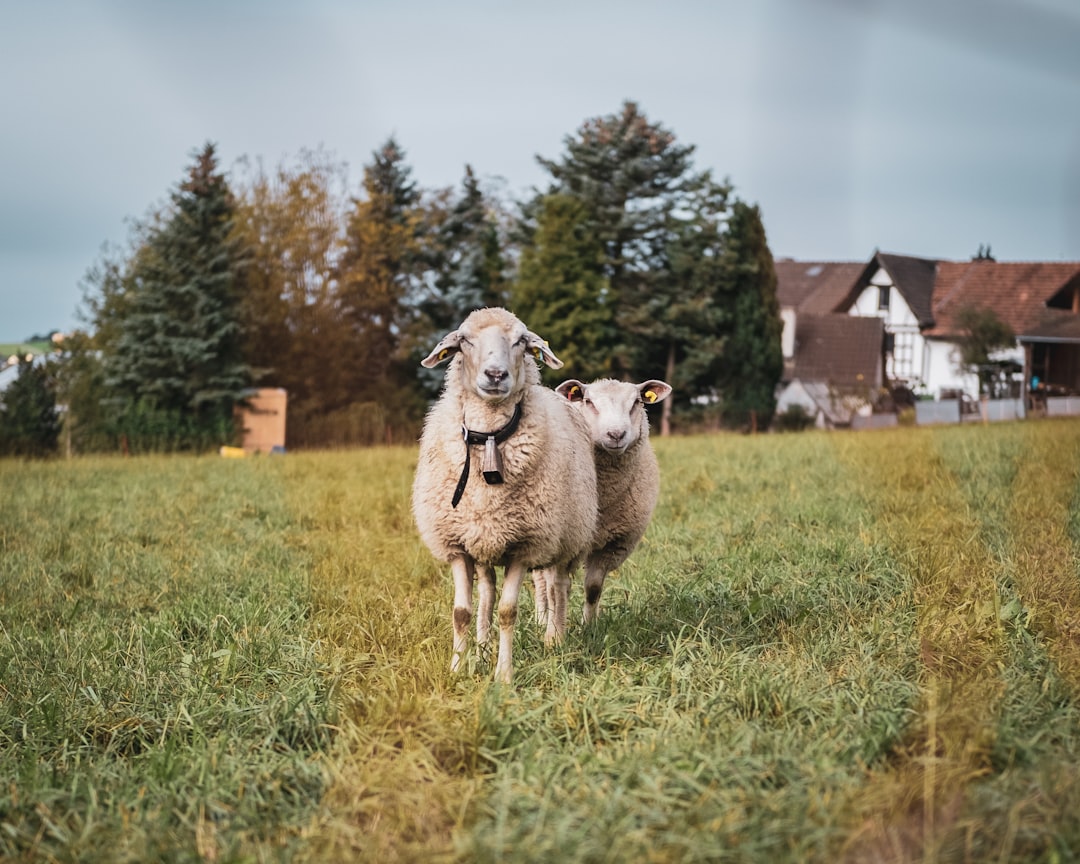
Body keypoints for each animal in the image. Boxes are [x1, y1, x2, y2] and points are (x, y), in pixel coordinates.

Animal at [410, 306, 600, 686]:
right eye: (465, 340)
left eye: (521, 341)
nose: (495, 374)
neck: (488, 438)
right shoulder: (457, 543)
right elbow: (462, 612)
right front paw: (458, 668)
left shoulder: (525, 546)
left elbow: (508, 612)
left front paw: (504, 675)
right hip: (484, 541)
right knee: (487, 592)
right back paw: (483, 649)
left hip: (565, 540)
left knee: (558, 587)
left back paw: (555, 639)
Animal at [529, 378, 669, 635]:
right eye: (588, 401)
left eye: (637, 402)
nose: (616, 434)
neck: (601, 500)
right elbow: (553, 587)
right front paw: (553, 626)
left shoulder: (614, 544)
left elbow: (593, 588)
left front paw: (589, 628)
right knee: (540, 581)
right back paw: (541, 619)